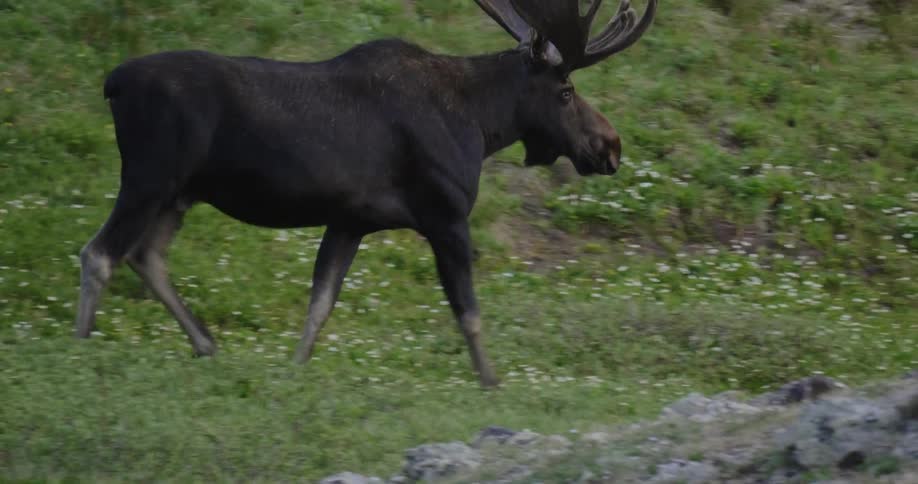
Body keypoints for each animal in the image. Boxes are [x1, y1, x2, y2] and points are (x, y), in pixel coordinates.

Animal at [75, 0, 658, 388]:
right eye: (566, 92)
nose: (611, 146)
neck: (481, 123)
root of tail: (110, 83)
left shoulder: (350, 219)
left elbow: (320, 304)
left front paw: (294, 371)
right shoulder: (445, 213)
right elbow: (469, 312)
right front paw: (492, 383)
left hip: (180, 193)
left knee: (146, 256)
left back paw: (205, 344)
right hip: (150, 175)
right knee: (99, 253)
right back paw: (80, 350)